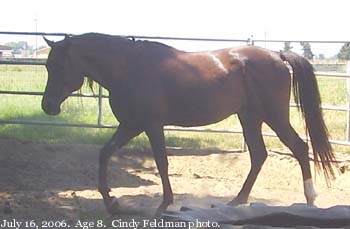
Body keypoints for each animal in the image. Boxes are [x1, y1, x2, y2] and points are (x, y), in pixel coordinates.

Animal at [41, 33, 336, 216]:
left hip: (273, 116)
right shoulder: (131, 125)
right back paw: (237, 201)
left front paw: (164, 204)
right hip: (249, 117)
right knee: (259, 155)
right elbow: (105, 153)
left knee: (299, 148)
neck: (129, 67)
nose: (47, 106)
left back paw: (310, 200)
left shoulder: (151, 125)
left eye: (58, 66)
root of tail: (277, 55)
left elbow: (161, 162)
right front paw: (112, 202)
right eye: (47, 66)